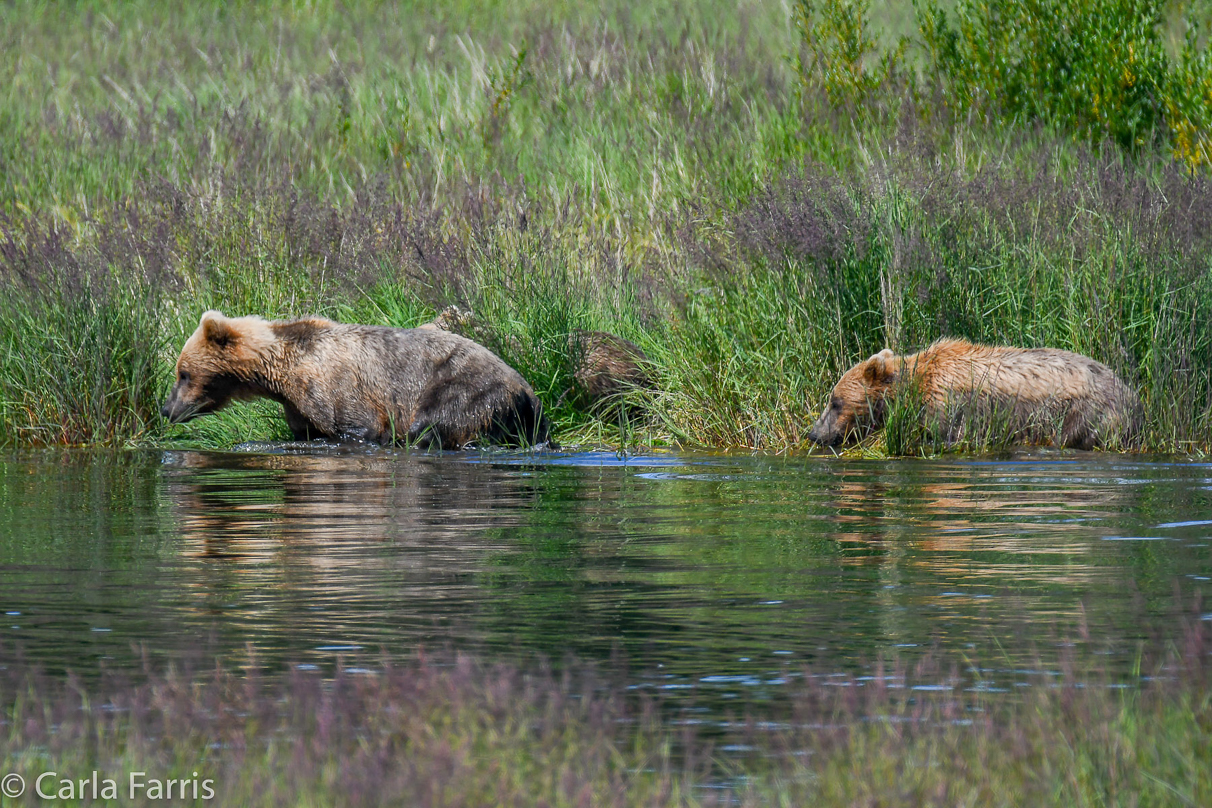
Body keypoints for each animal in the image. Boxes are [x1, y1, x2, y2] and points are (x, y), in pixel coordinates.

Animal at [163, 310, 552, 448]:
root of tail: (529, 392)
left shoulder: (336, 386)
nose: (166, 409)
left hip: (466, 389)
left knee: (432, 425)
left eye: (183, 373)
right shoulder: (300, 406)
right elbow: (308, 433)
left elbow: (358, 427)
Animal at [809, 334, 1139, 448]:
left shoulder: (953, 408)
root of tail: (1129, 390)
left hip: (1085, 413)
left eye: (835, 402)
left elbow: (948, 436)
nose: (813, 434)